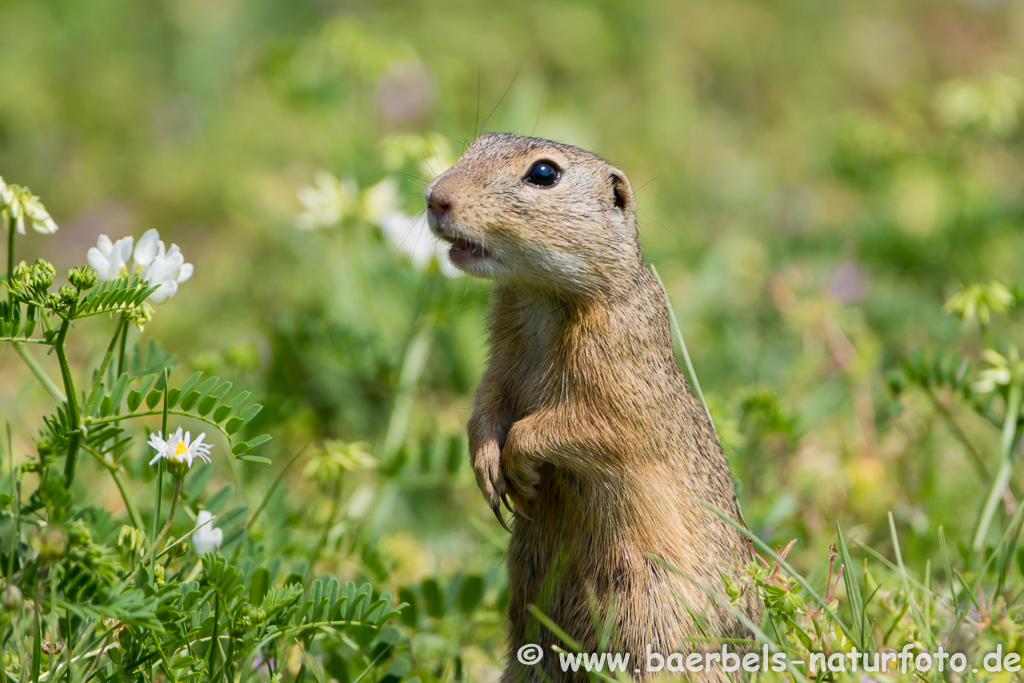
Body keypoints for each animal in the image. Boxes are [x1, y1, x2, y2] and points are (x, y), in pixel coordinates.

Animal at [421, 135, 761, 683]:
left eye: (543, 173)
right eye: (476, 143)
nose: (436, 198)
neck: (539, 297)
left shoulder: (616, 382)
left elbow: (579, 427)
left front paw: (518, 464)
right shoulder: (500, 361)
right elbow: (486, 404)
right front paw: (487, 468)